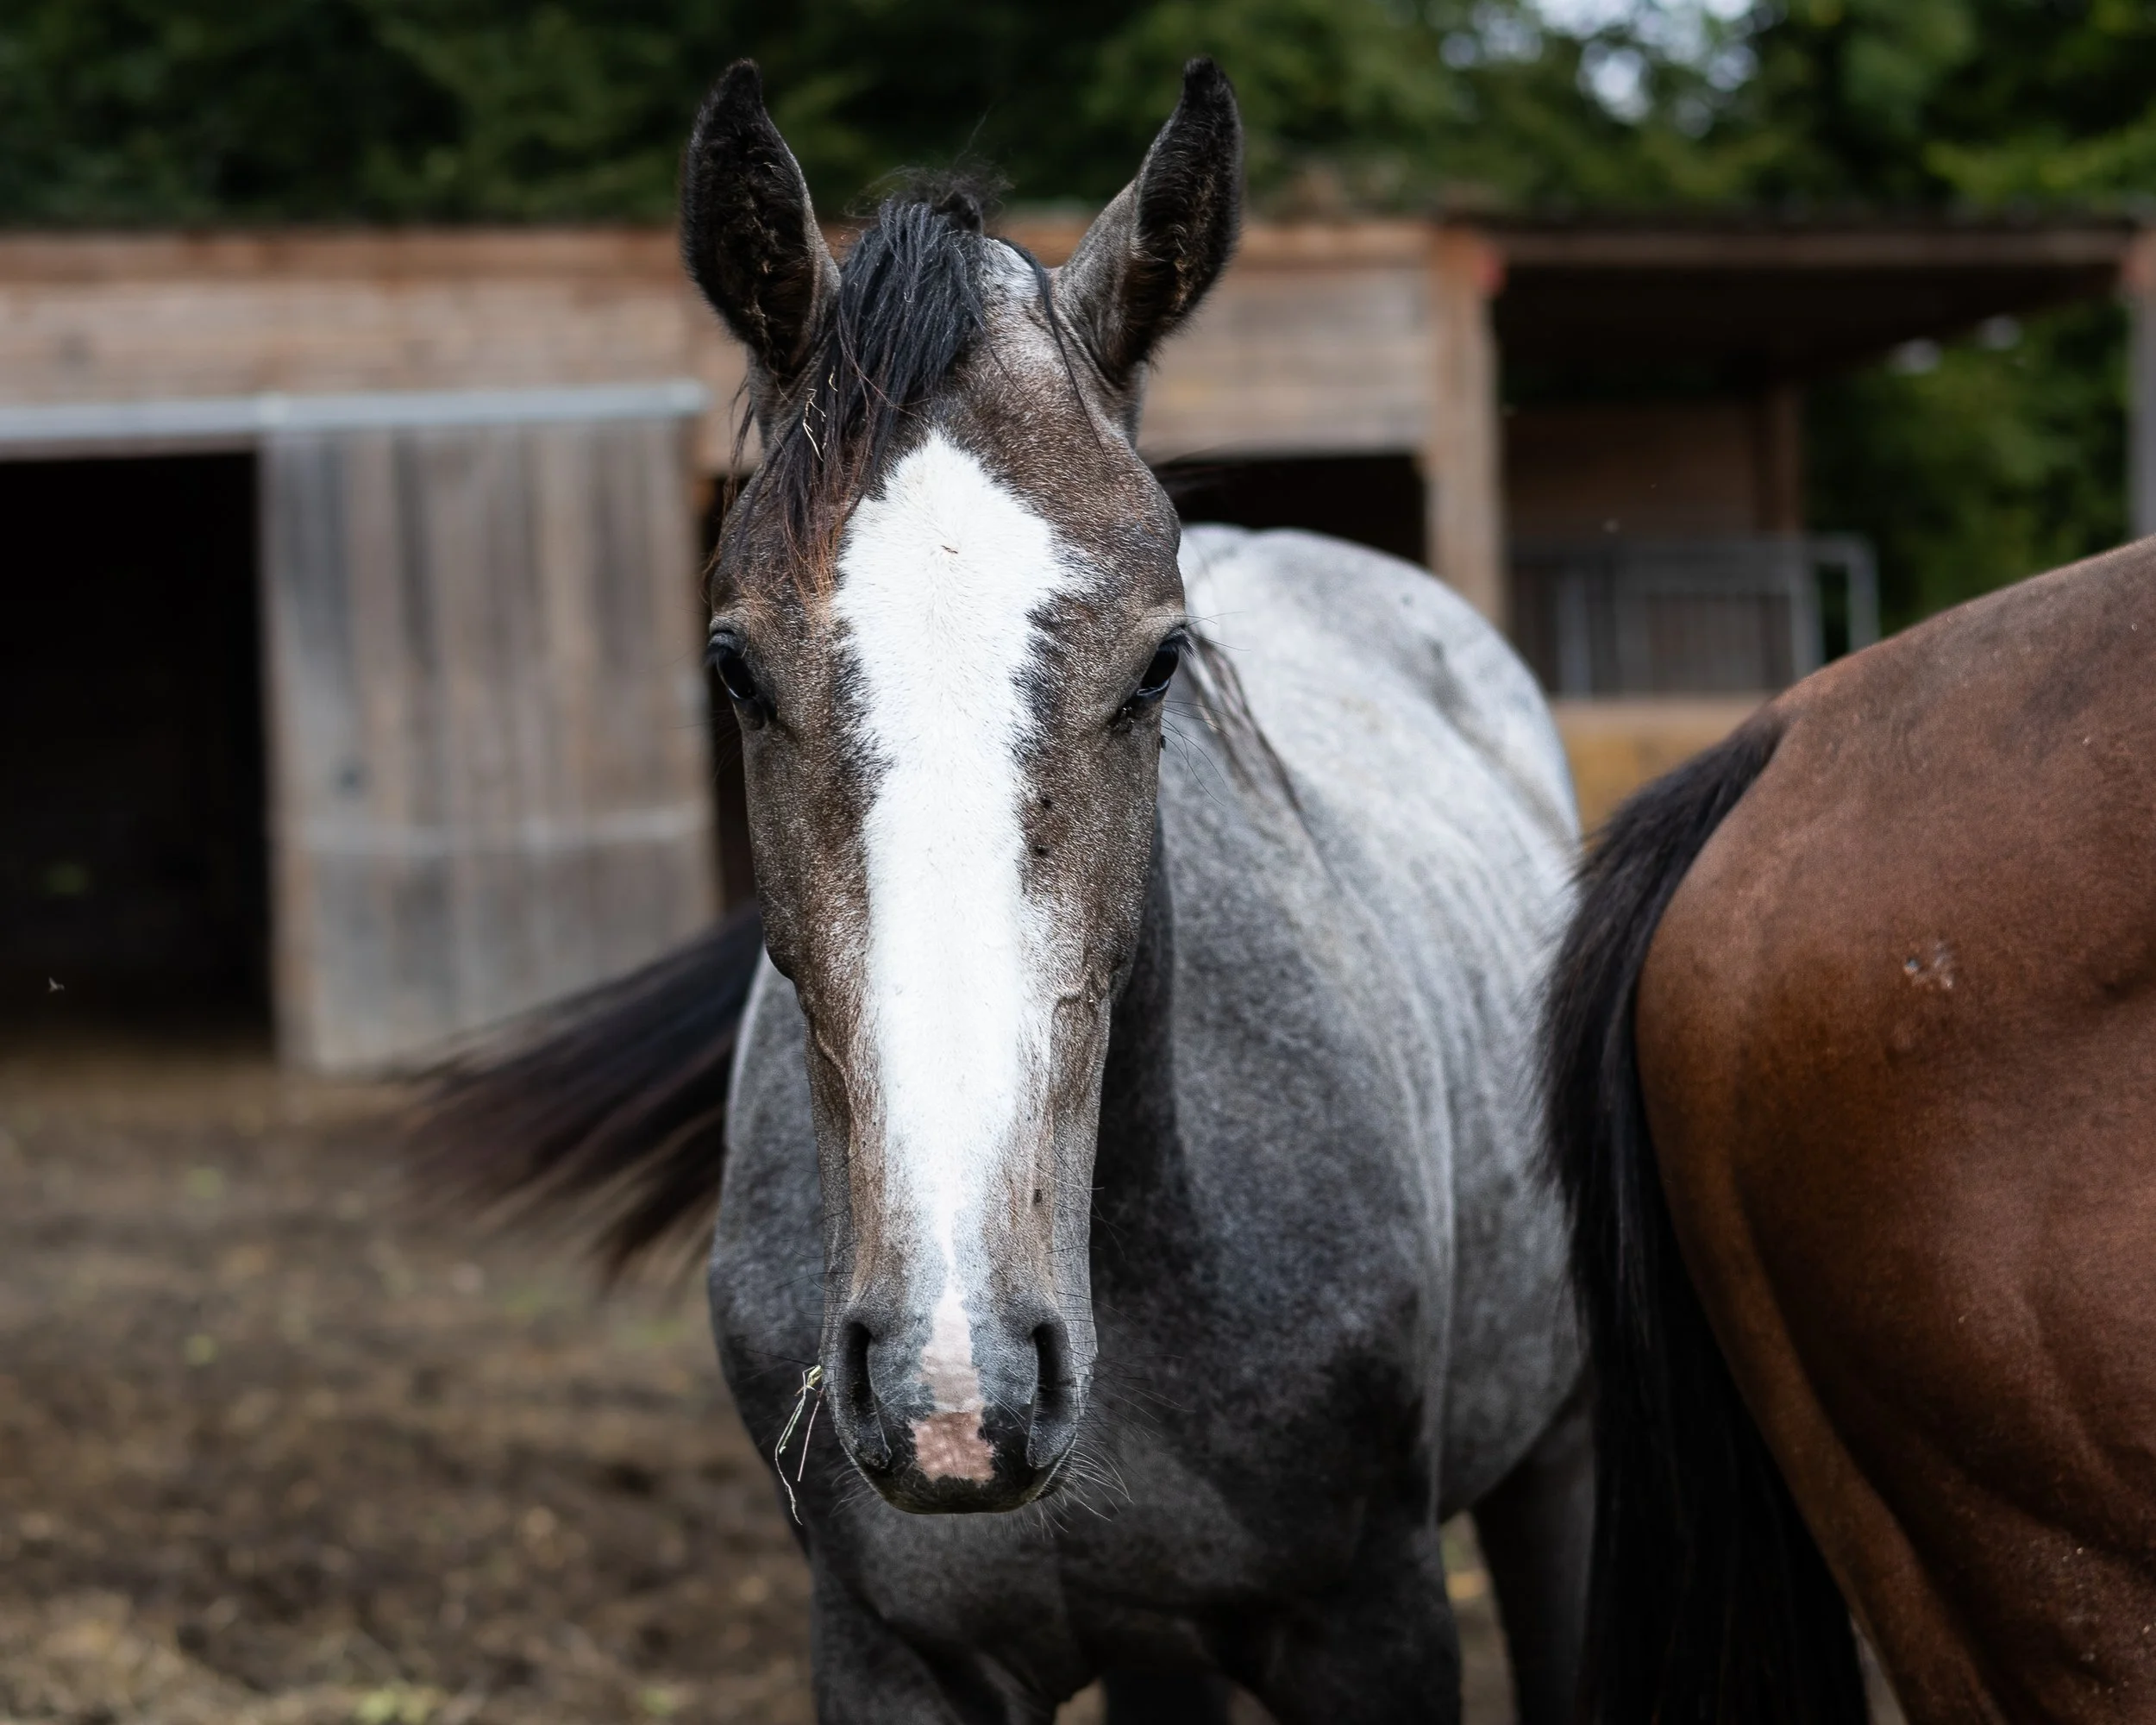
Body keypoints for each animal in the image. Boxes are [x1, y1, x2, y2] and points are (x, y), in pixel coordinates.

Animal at [419, 58, 1593, 1724]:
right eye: (735, 668)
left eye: (1161, 663)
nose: (955, 1380)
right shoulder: (894, 1649)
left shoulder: (1374, 1625)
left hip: (1561, 1464)